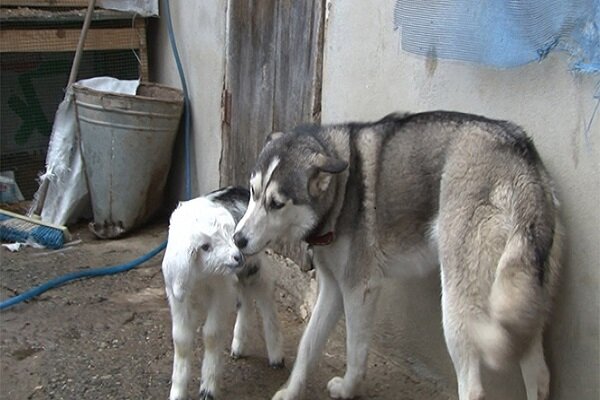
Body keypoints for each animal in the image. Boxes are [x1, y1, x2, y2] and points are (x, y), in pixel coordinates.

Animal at [162, 188, 284, 400]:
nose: (237, 256)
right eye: (205, 246)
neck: (201, 276)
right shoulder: (178, 297)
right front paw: (177, 391)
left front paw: (208, 388)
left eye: (229, 234)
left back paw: (276, 354)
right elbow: (181, 340)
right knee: (245, 298)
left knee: (265, 290)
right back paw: (238, 345)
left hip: (254, 265)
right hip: (241, 272)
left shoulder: (221, 291)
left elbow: (212, 334)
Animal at [234, 111, 564, 400]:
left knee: (474, 389)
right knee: (539, 375)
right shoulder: (332, 289)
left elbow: (356, 352)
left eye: (276, 203)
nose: (238, 239)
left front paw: (349, 389)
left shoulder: (359, 290)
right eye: (252, 192)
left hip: (457, 307)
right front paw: (290, 392)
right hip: (520, 306)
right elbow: (308, 346)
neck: (341, 191)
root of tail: (520, 157)